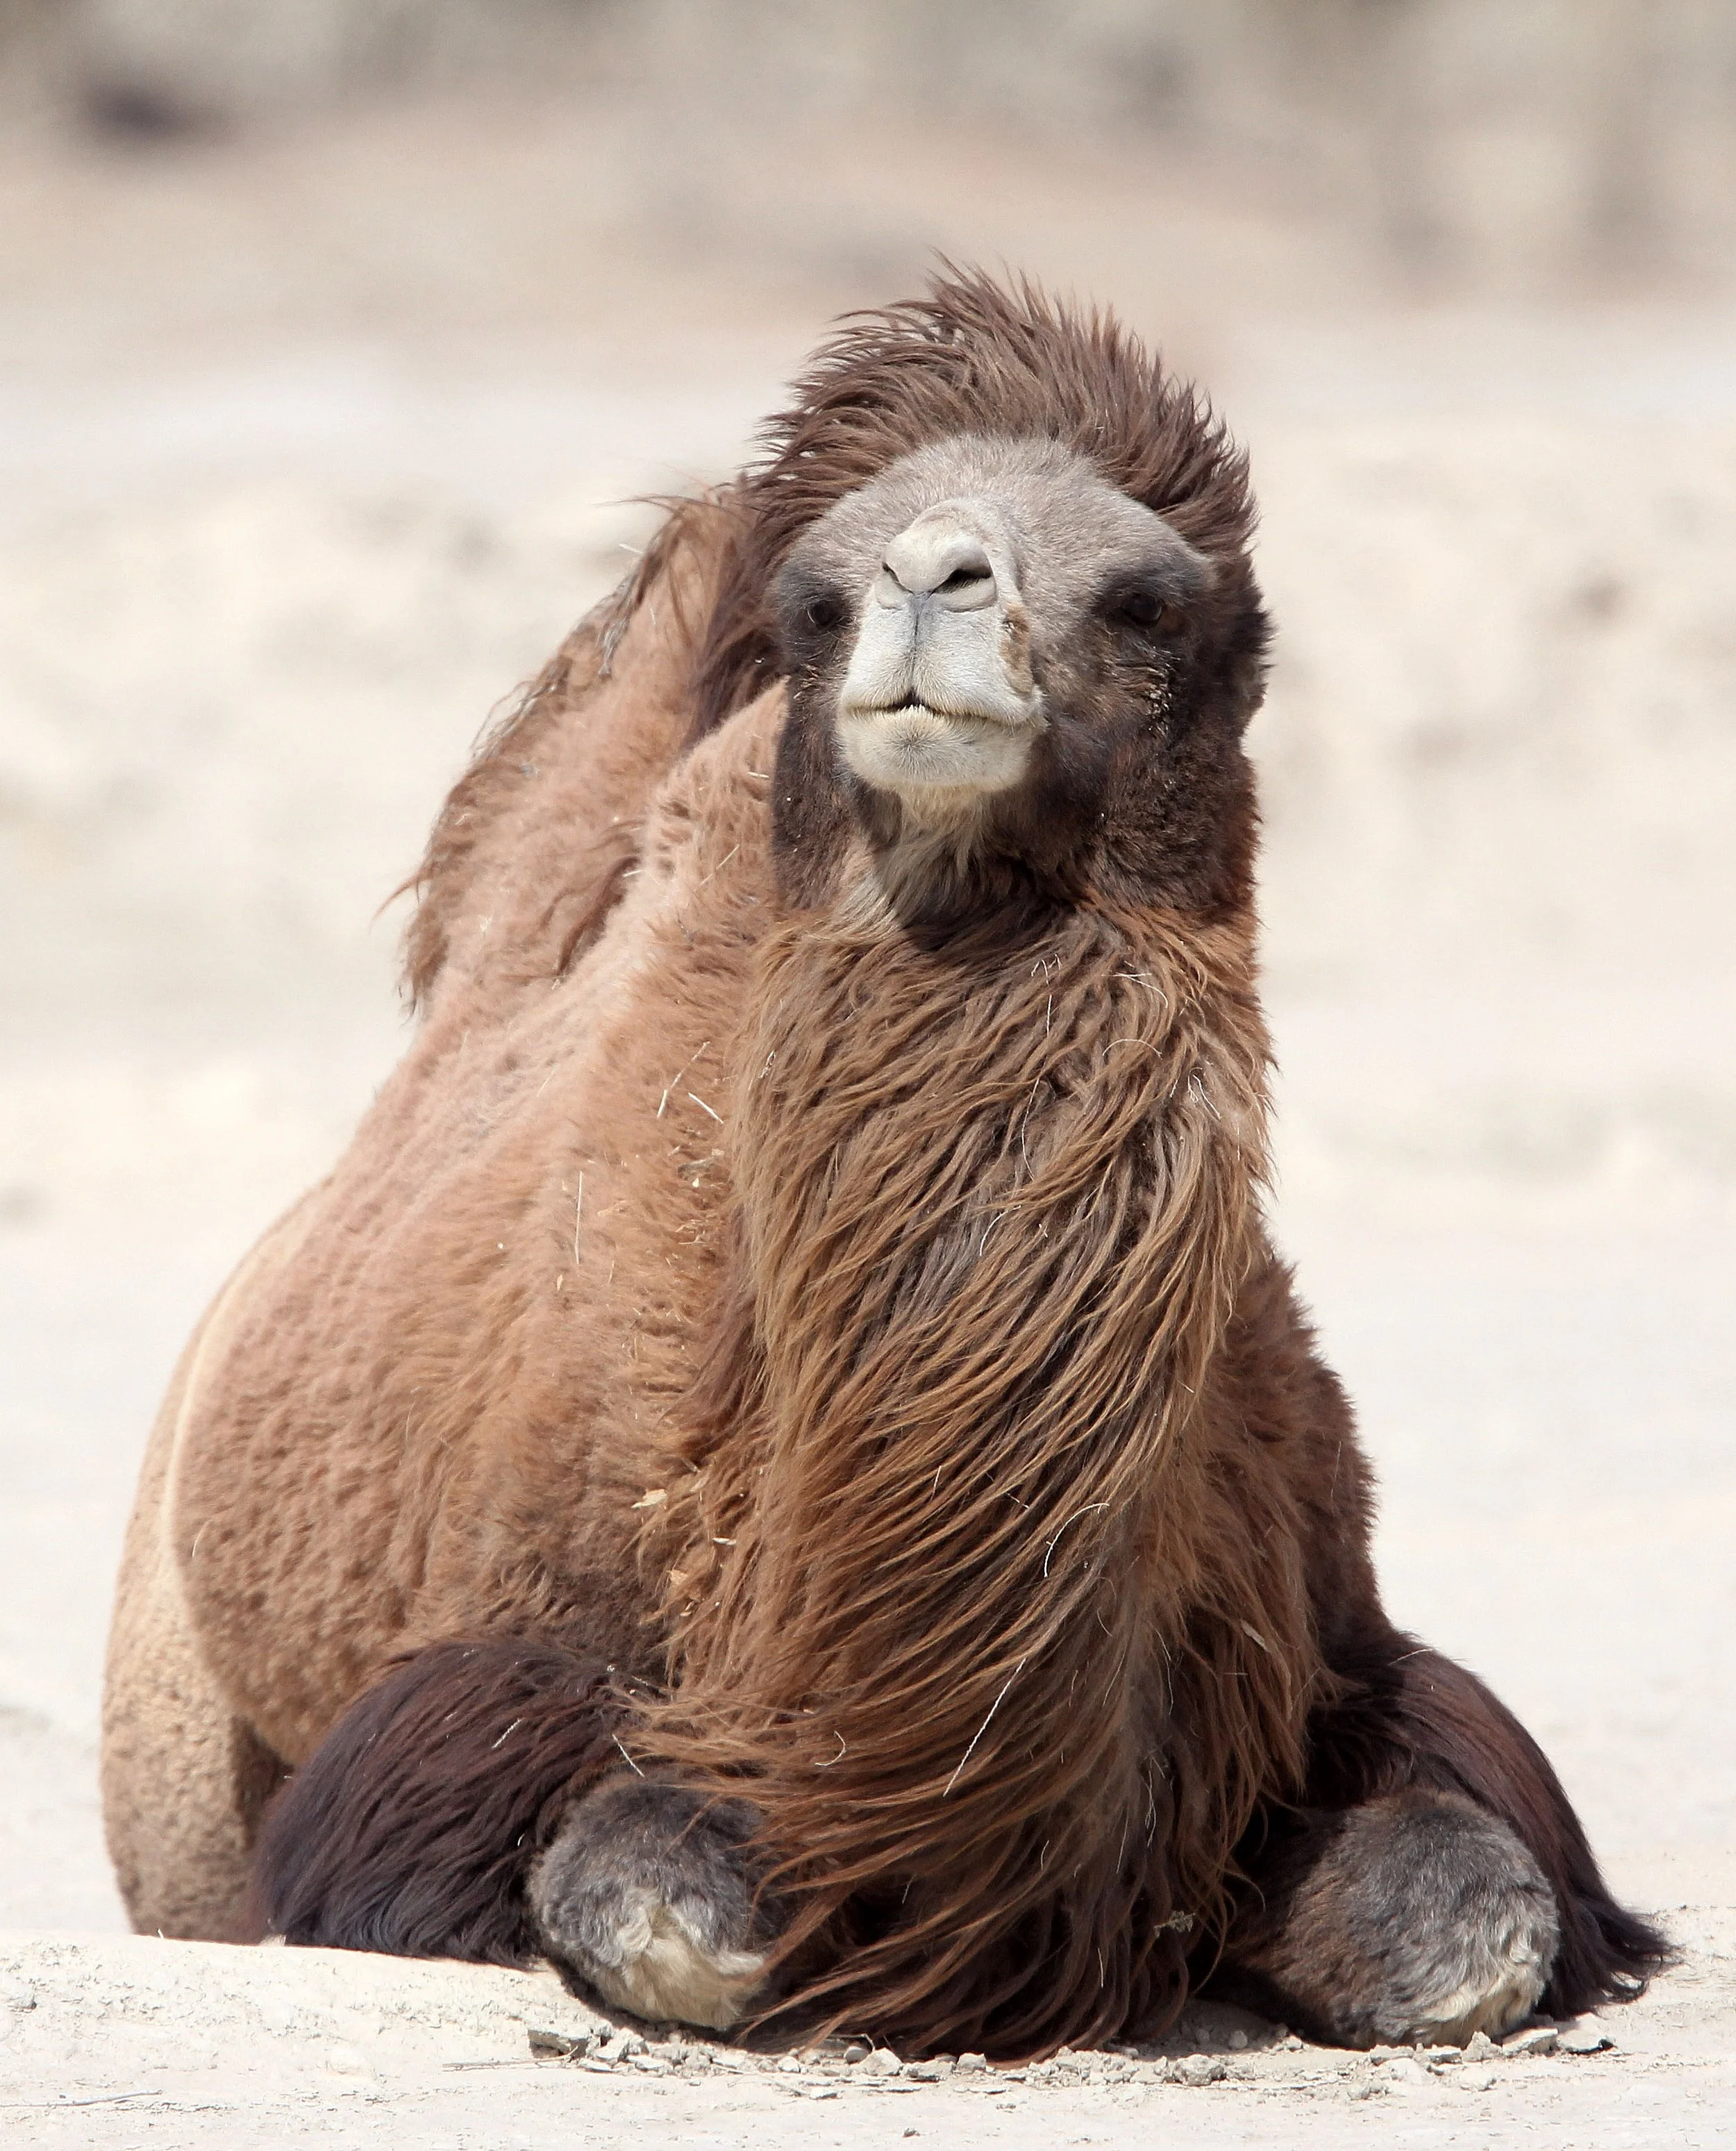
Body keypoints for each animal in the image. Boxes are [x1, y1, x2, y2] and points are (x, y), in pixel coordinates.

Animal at [101, 272, 1666, 2061]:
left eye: (1145, 600)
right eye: (817, 600)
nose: (934, 581)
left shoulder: (1343, 1642)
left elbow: (1467, 1906)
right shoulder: (477, 1695)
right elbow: (651, 1889)